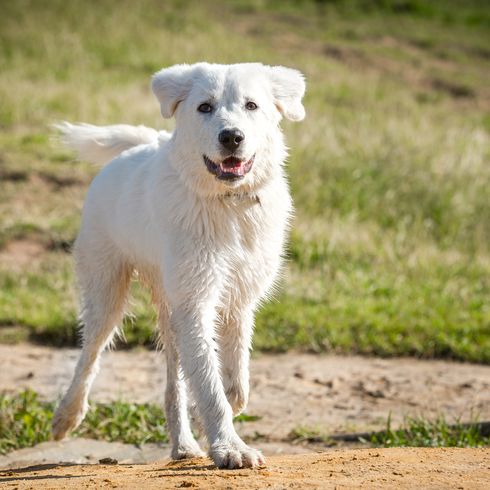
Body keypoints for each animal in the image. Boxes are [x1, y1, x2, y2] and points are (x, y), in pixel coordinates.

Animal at [52, 63, 306, 468]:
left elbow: (233, 373)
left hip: (169, 311)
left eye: (251, 105)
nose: (231, 137)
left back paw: (184, 446)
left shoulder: (239, 299)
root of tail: (142, 143)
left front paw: (226, 408)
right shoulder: (195, 302)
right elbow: (209, 384)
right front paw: (230, 448)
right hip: (107, 293)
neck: (228, 205)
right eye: (205, 107)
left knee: (175, 386)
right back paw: (66, 416)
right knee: (89, 356)